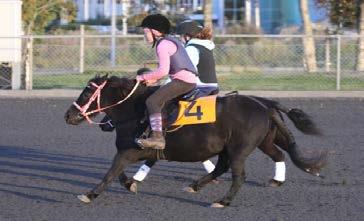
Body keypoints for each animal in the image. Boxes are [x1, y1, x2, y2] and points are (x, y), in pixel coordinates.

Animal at [64, 75, 328, 207]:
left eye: (87, 91)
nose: (68, 115)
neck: (135, 110)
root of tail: (265, 105)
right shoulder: (140, 151)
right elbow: (121, 173)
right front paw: (131, 183)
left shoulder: (128, 151)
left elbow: (111, 172)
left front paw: (90, 194)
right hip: (254, 143)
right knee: (271, 156)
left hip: (239, 148)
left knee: (238, 175)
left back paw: (223, 201)